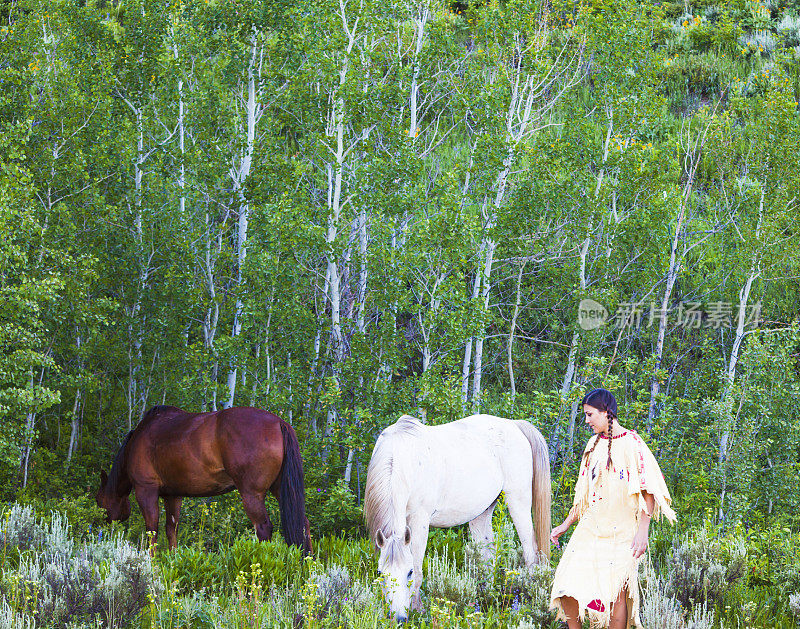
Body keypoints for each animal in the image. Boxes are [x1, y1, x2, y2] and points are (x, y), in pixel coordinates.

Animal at [97, 404, 312, 552]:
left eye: (100, 502)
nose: (100, 530)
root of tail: (279, 423)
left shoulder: (145, 490)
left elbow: (152, 530)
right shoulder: (173, 495)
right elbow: (171, 529)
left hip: (252, 494)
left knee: (263, 528)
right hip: (280, 489)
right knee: (303, 523)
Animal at [366, 412, 552, 620]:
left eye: (409, 572)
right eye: (380, 573)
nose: (398, 618)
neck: (401, 457)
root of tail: (514, 425)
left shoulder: (419, 521)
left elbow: (419, 568)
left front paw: (418, 610)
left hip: (518, 501)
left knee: (530, 552)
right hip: (483, 512)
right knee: (488, 555)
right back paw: (484, 599)